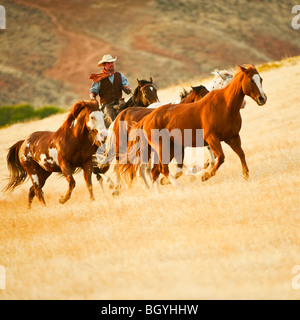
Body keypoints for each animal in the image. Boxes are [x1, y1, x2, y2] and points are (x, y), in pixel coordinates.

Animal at [119, 65, 268, 188]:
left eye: (260, 79)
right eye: (251, 80)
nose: (262, 98)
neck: (225, 105)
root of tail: (147, 118)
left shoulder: (232, 137)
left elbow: (240, 154)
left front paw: (245, 176)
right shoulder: (212, 139)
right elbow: (220, 158)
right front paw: (205, 176)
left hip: (170, 147)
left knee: (155, 171)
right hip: (162, 148)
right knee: (157, 169)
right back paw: (177, 187)